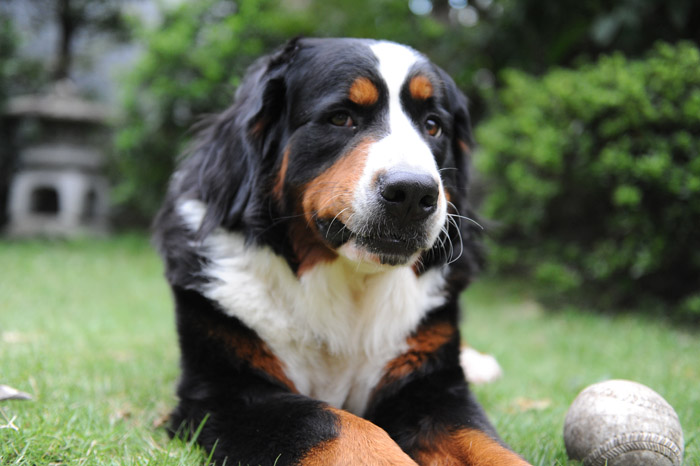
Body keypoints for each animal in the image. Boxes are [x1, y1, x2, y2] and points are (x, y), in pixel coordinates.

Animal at [154, 37, 530, 465]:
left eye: (433, 126)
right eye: (341, 118)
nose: (413, 192)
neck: (350, 284)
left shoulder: (431, 389)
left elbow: (486, 445)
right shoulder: (226, 394)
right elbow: (335, 424)